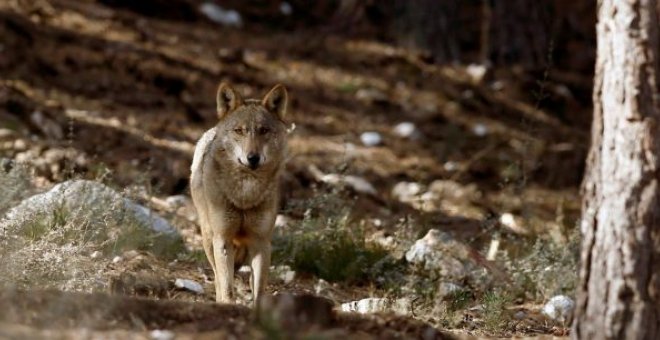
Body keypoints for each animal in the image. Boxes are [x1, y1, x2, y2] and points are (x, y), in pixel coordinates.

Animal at [188, 83, 286, 306]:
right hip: (209, 238)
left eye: (264, 130)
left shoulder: (261, 242)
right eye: (239, 131)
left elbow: (259, 291)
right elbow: (226, 287)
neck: (245, 195)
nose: (253, 158)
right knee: (217, 278)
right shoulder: (223, 238)